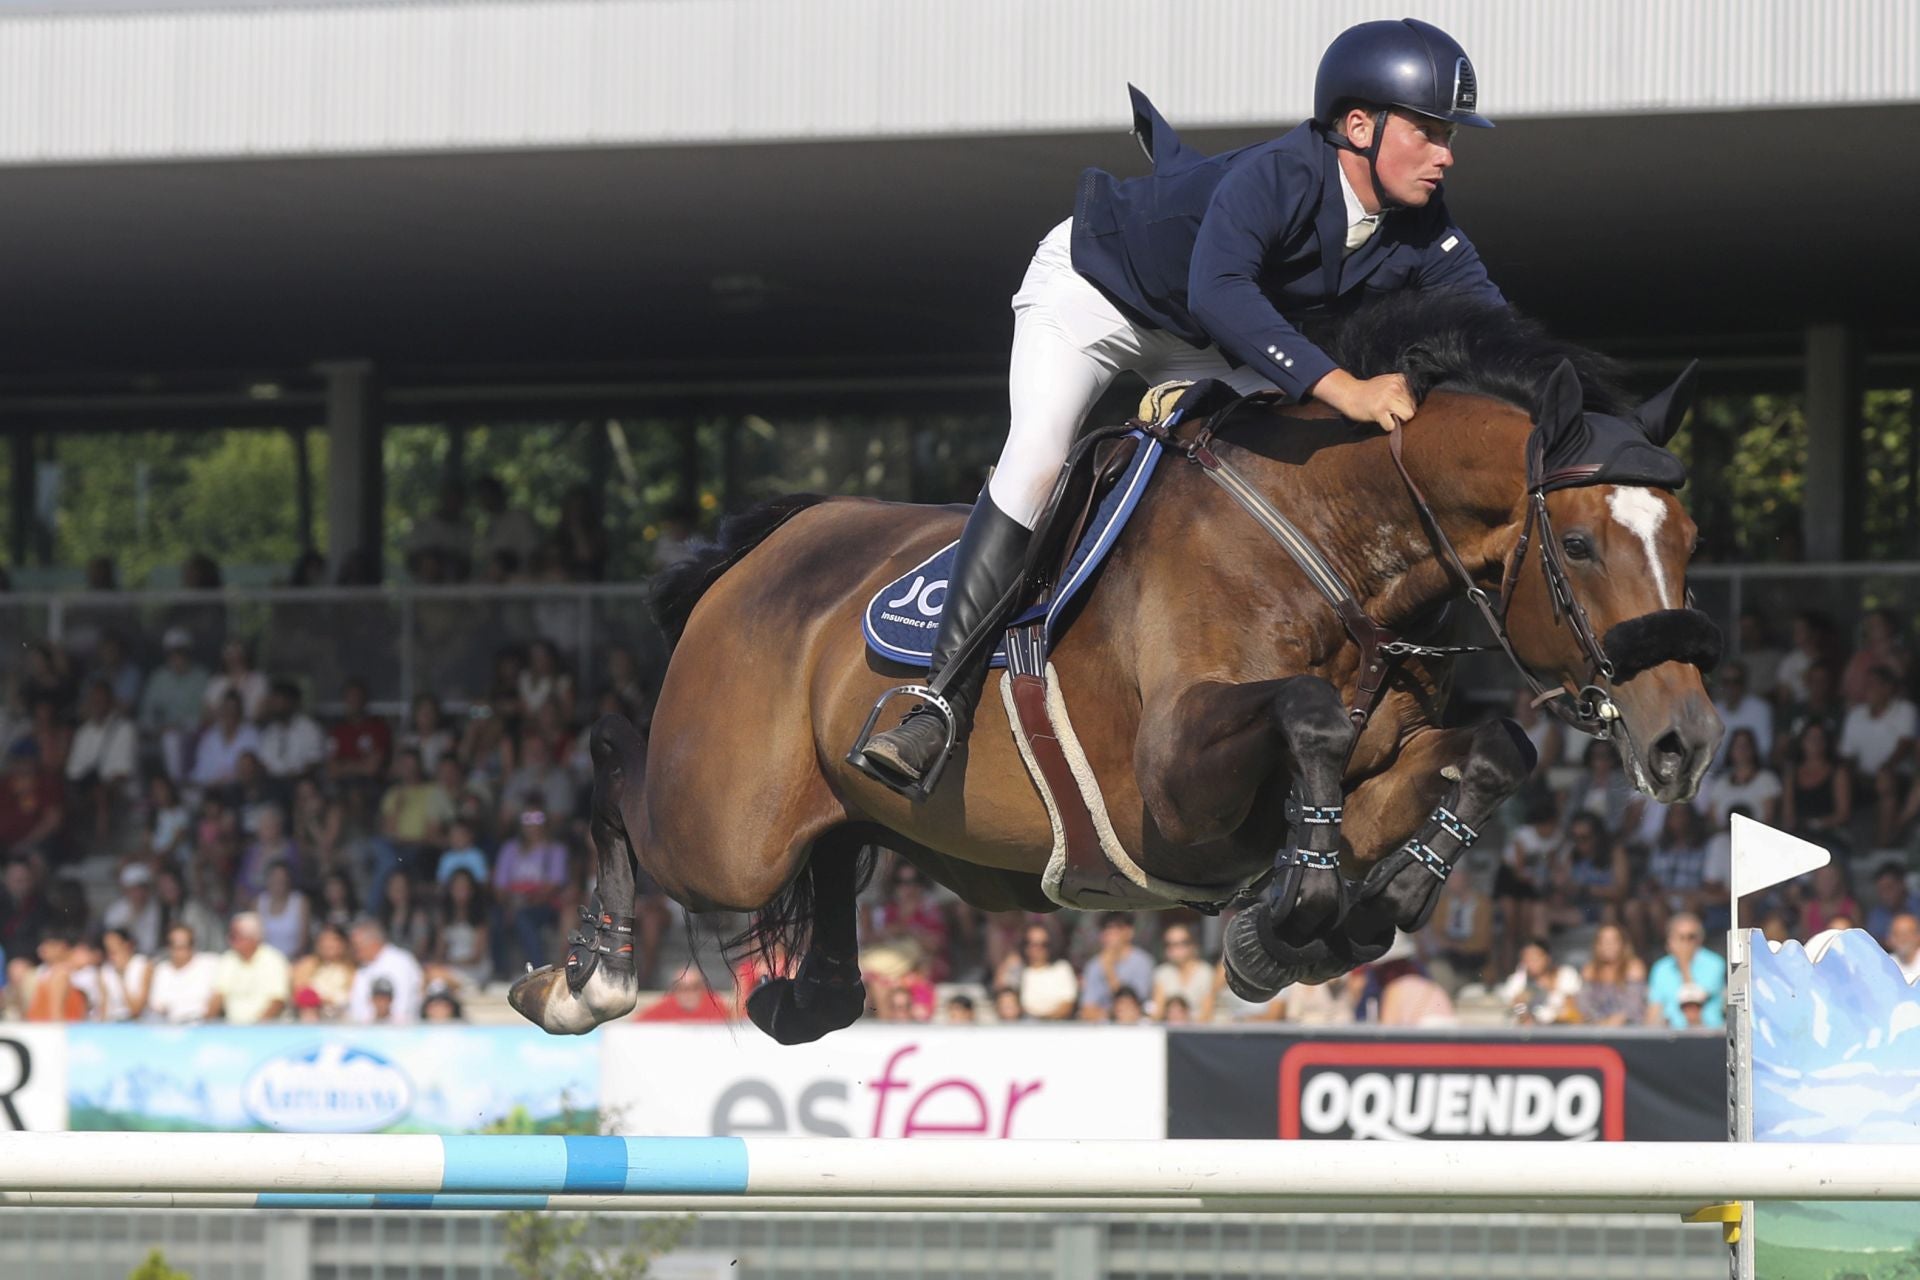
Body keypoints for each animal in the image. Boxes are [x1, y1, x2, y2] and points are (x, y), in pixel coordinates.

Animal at [506, 295, 1728, 1043]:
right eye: (1582, 545)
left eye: (1687, 536)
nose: (1686, 743)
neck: (1329, 548)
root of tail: (759, 549)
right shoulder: (1175, 791)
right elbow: (1311, 719)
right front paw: (1292, 916)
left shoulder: (1393, 755)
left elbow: (1493, 748)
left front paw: (1371, 904)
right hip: (725, 832)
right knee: (615, 760)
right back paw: (583, 977)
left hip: (836, 819)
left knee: (835, 867)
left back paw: (802, 994)